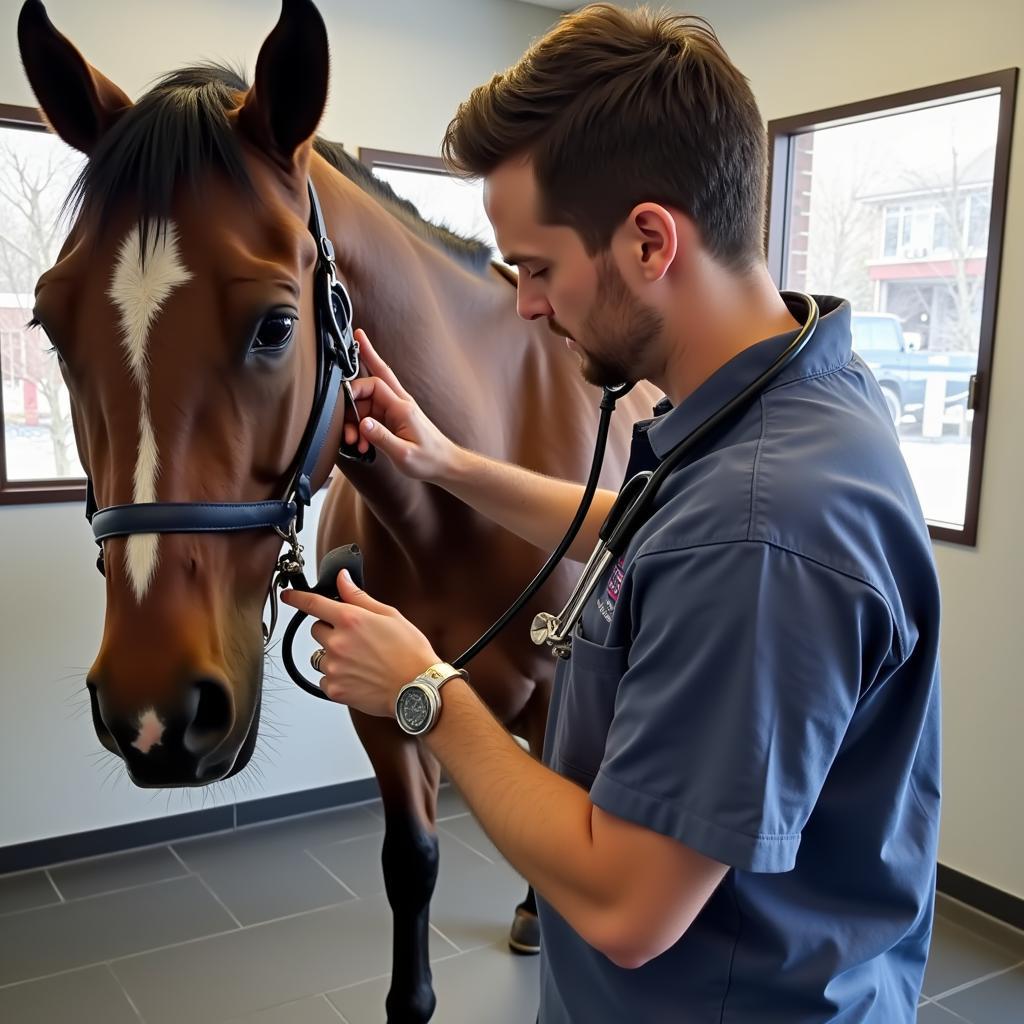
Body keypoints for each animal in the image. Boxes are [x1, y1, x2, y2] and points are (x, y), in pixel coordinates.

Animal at [14, 2, 655, 1024]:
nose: (154, 713)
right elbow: (413, 863)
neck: (454, 523)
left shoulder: (560, 697)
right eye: (50, 327)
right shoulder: (388, 706)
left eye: (276, 326)